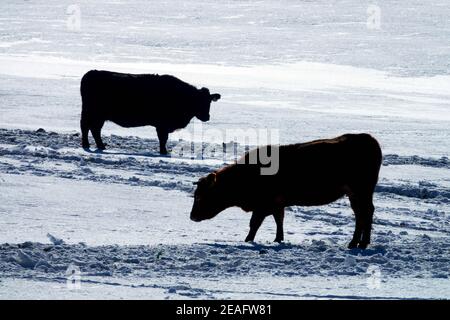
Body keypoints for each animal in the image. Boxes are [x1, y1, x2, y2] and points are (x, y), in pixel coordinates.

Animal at [81, 69, 222, 154]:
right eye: (199, 101)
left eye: (209, 102)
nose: (206, 117)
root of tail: (91, 73)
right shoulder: (162, 125)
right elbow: (163, 139)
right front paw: (164, 151)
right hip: (93, 113)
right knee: (87, 127)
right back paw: (89, 145)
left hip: (97, 115)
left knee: (94, 129)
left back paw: (99, 146)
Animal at [190, 134, 384, 249]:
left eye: (200, 196)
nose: (192, 216)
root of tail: (370, 140)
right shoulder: (277, 204)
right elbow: (279, 221)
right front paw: (278, 239)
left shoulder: (263, 205)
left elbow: (254, 224)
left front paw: (248, 240)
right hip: (355, 195)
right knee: (361, 214)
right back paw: (356, 242)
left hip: (362, 191)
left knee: (366, 213)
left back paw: (360, 243)